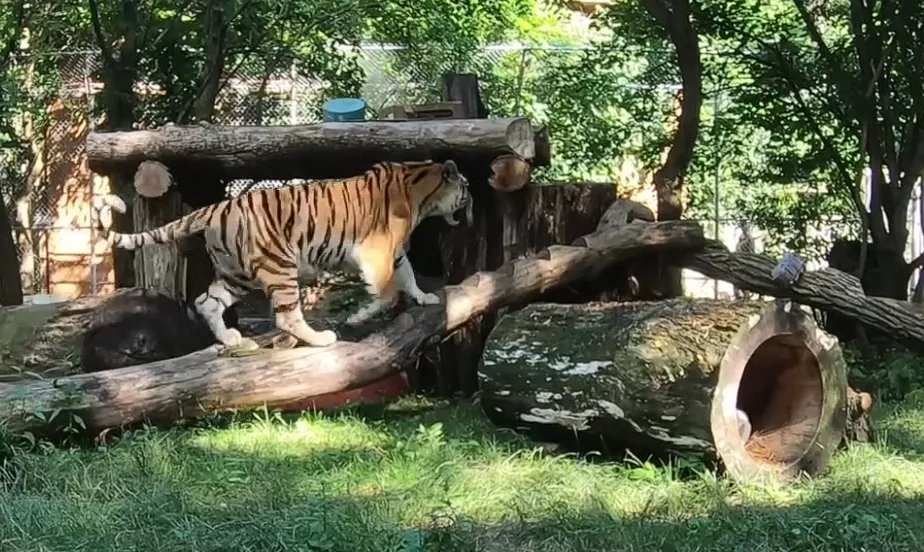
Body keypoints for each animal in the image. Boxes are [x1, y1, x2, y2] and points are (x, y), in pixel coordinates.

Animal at [92, 159, 474, 353]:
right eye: (467, 187)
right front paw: (358, 316)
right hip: (279, 266)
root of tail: (215, 208)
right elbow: (388, 291)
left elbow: (407, 276)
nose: (471, 199)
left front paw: (425, 297)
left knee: (206, 302)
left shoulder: (393, 253)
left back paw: (232, 339)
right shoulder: (375, 251)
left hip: (236, 275)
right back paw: (320, 338)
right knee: (287, 317)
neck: (421, 193)